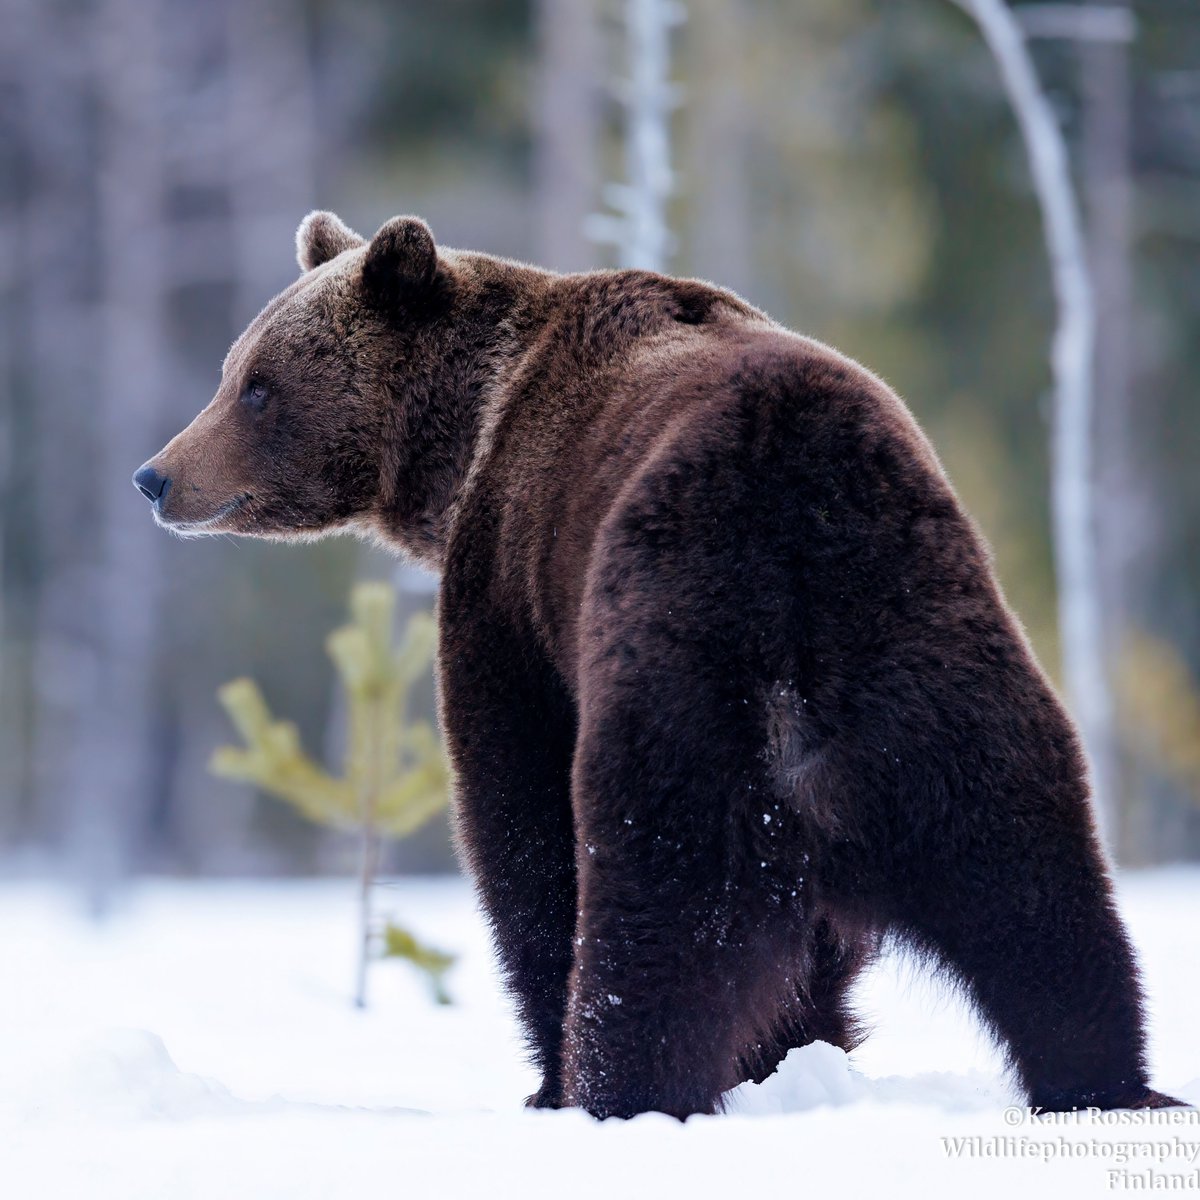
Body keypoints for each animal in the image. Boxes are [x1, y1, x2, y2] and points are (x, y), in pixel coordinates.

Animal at [136, 211, 1176, 1118]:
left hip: (684, 668)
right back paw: (1107, 1083)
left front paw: (553, 1075)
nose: (156, 474)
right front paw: (799, 1047)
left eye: (257, 383)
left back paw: (619, 1091)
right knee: (1041, 900)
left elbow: (518, 820)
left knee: (659, 911)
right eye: (234, 371)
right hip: (941, 669)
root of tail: (801, 533)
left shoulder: (512, 587)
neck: (465, 438)